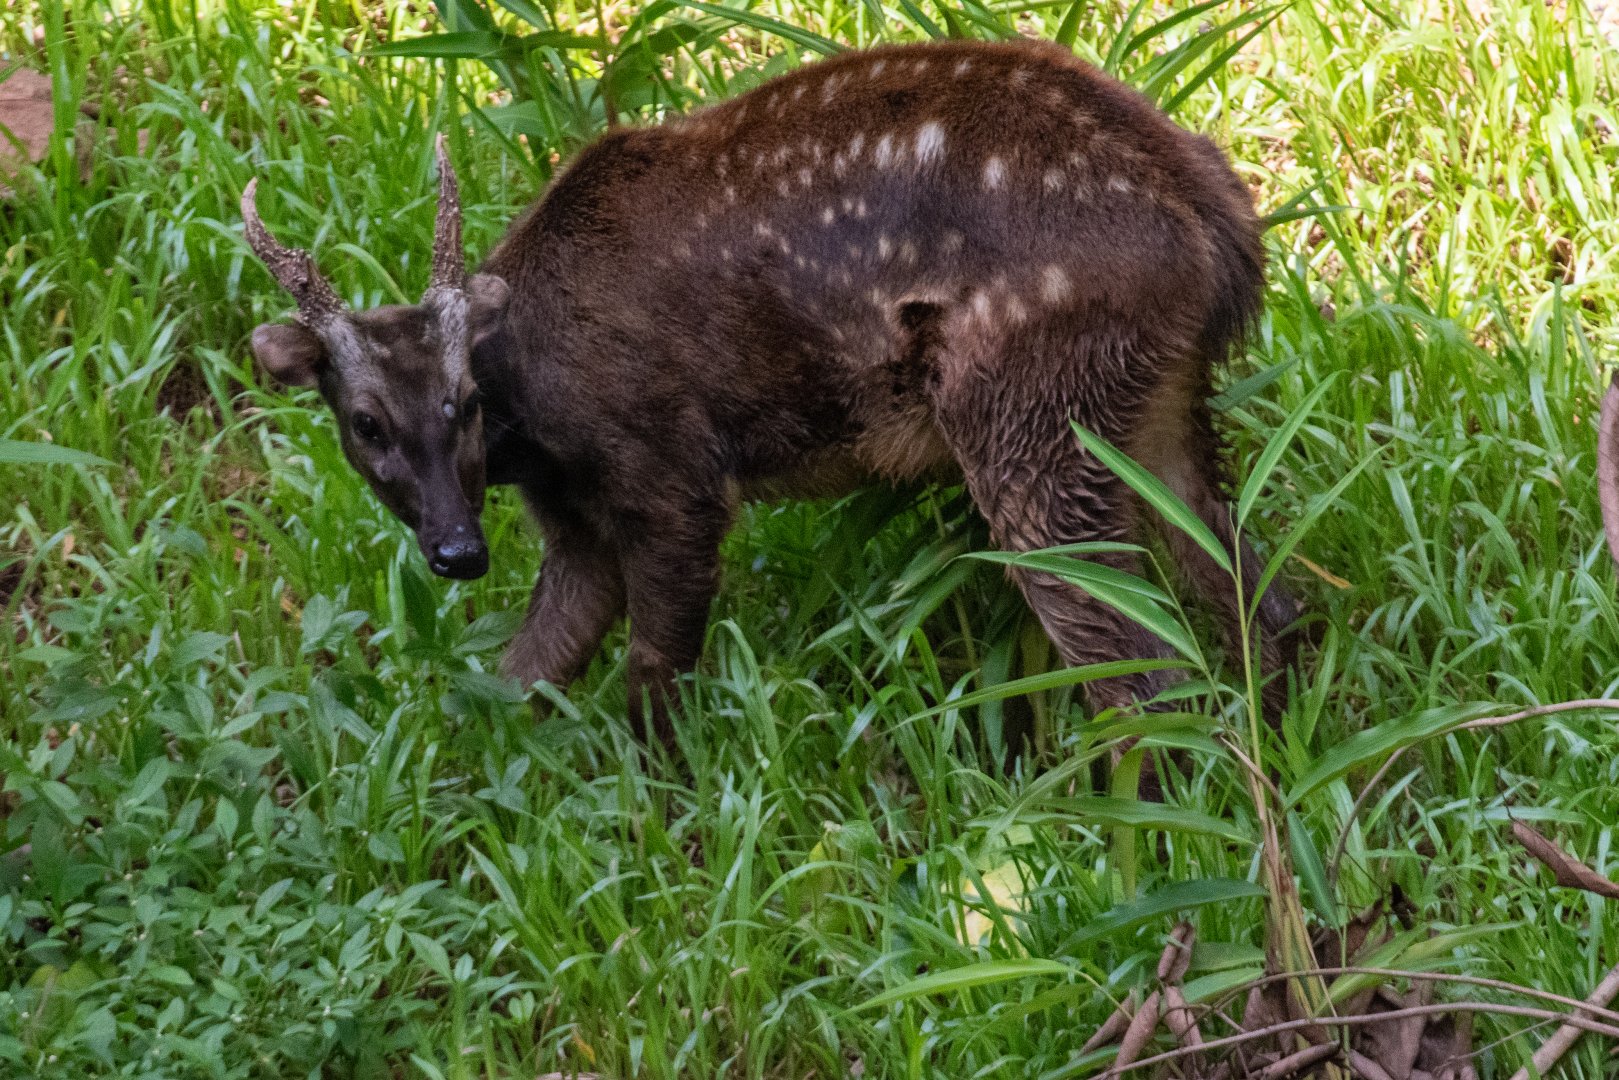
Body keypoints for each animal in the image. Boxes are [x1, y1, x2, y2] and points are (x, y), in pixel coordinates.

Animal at [241, 37, 1301, 745]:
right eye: (365, 421)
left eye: (462, 402)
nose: (457, 552)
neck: (537, 421)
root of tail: (1219, 226)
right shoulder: (574, 520)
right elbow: (519, 677)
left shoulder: (669, 471)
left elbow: (651, 677)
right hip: (1154, 407)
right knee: (1258, 598)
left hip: (1029, 406)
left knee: (1138, 668)